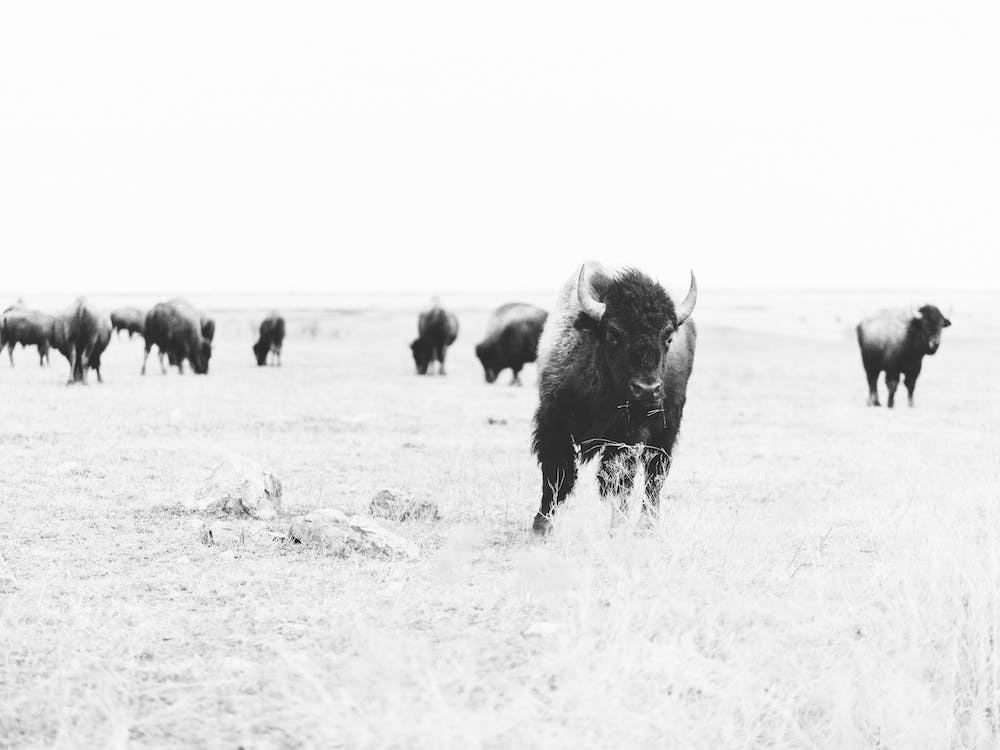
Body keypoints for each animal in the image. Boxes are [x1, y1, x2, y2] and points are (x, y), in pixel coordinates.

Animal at [531, 264, 697, 535]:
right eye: (613, 334)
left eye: (668, 336)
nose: (647, 389)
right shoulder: (553, 424)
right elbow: (556, 476)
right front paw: (541, 527)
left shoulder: (625, 436)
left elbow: (617, 481)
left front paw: (617, 527)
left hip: (666, 429)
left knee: (654, 476)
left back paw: (646, 524)